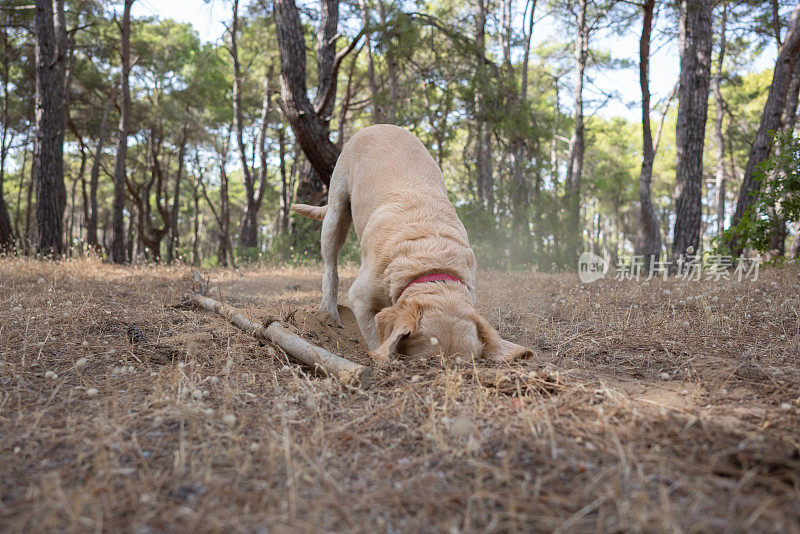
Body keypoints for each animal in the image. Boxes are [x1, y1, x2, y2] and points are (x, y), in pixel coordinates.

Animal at [292, 125, 532, 366]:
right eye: (426, 363)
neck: (431, 264)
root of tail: (379, 126)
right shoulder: (360, 297)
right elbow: (375, 337)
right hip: (336, 212)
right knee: (330, 268)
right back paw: (328, 311)